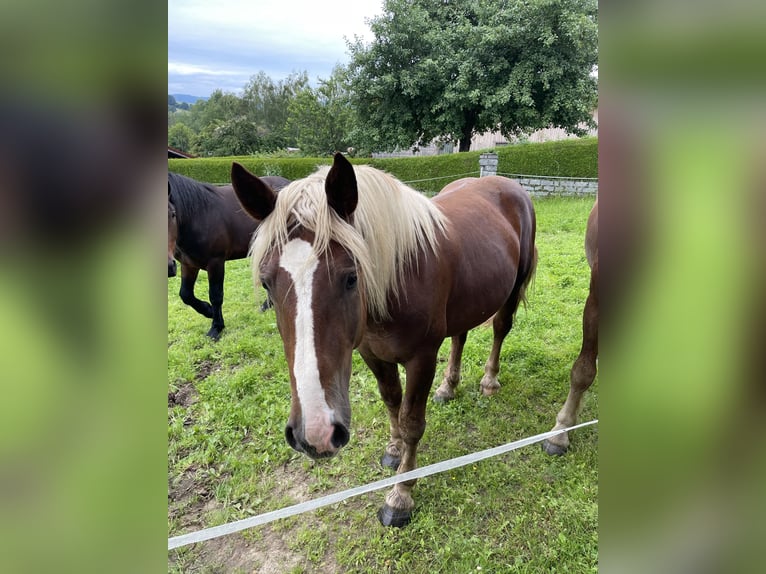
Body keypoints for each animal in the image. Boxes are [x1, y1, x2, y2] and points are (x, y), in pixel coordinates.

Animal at [169, 173, 292, 340]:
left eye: (172, 214)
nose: (169, 267)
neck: (199, 215)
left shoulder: (215, 262)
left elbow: (216, 295)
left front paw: (216, 328)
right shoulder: (188, 264)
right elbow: (185, 294)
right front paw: (208, 311)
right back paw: (267, 305)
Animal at [231, 155, 536, 528]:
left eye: (351, 277)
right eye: (267, 284)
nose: (315, 433)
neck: (399, 277)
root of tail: (508, 185)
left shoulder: (422, 359)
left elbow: (412, 423)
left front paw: (401, 494)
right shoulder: (371, 352)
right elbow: (391, 401)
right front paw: (393, 450)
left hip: (511, 289)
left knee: (500, 329)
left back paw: (489, 380)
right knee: (460, 336)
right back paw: (448, 387)